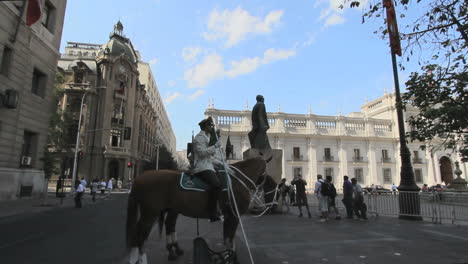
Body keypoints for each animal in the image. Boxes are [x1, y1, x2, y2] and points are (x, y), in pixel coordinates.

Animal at [126, 157, 268, 262]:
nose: (263, 189)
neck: (237, 180)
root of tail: (139, 177)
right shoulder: (233, 216)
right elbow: (230, 237)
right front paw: (231, 257)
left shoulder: (229, 216)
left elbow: (228, 237)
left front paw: (228, 255)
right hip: (150, 214)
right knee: (140, 234)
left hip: (168, 210)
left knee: (168, 225)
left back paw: (173, 251)